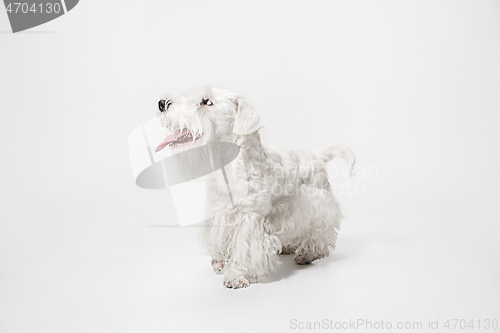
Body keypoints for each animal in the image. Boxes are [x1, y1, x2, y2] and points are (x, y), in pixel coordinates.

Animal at [154, 87, 354, 286]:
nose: (162, 104)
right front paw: (219, 262)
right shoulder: (219, 212)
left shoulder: (249, 219)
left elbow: (244, 249)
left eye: (207, 101)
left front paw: (236, 276)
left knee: (320, 234)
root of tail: (317, 156)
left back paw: (308, 254)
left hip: (319, 205)